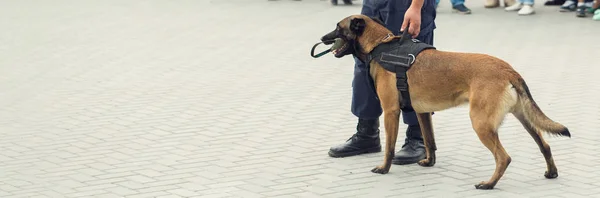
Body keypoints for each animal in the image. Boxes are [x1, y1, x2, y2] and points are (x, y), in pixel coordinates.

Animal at [318, 14, 572, 189]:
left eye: (338, 28)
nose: (322, 38)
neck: (381, 45)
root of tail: (509, 70)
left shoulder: (391, 111)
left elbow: (389, 147)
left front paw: (384, 168)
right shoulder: (422, 112)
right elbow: (429, 140)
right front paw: (429, 162)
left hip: (480, 123)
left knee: (504, 157)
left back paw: (489, 184)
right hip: (524, 118)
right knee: (544, 144)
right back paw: (551, 172)